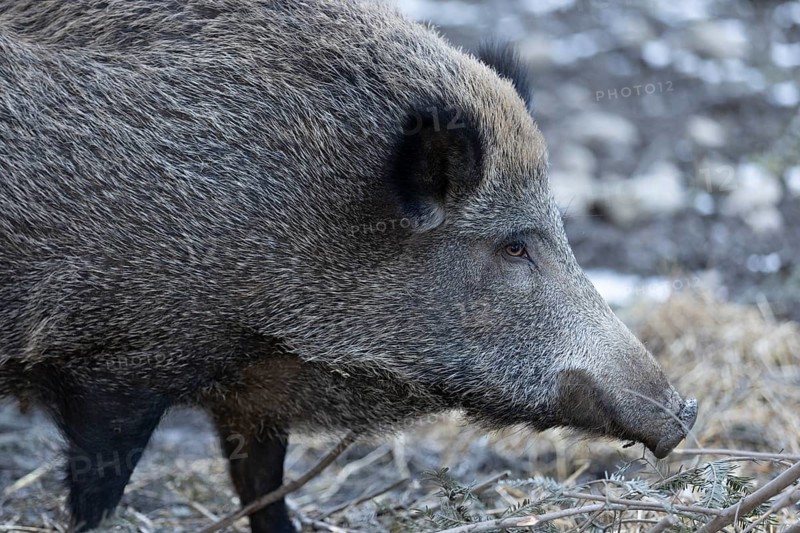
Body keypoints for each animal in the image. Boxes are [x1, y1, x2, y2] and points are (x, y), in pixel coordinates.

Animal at [0, 1, 697, 531]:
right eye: (513, 246)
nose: (684, 413)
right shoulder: (109, 362)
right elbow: (99, 492)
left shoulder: (254, 392)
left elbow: (264, 486)